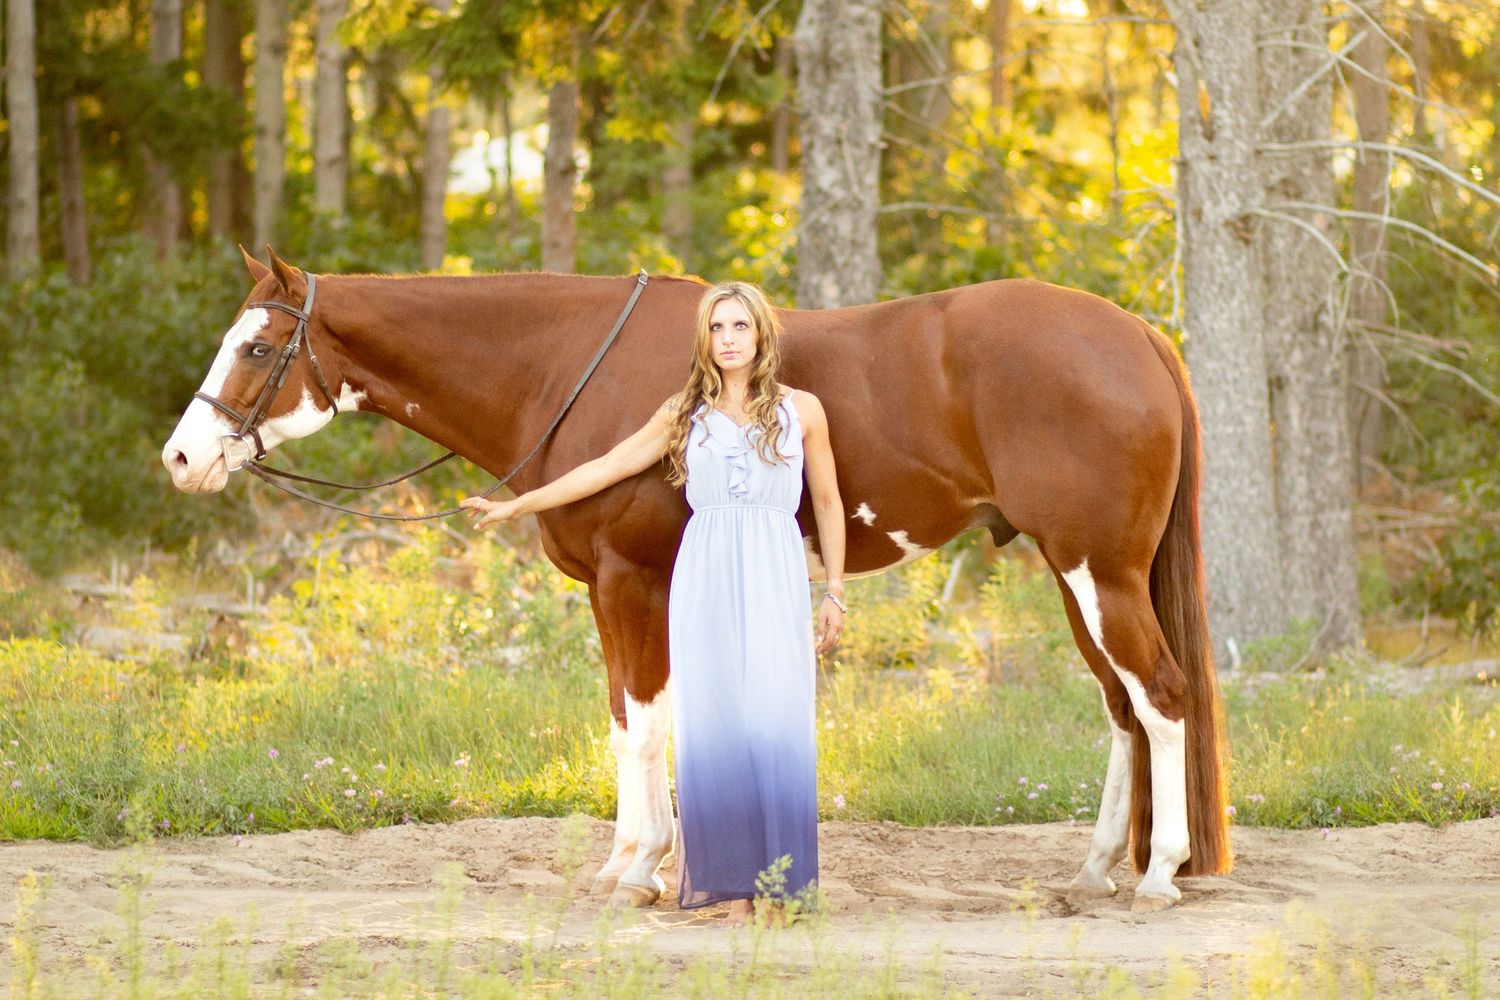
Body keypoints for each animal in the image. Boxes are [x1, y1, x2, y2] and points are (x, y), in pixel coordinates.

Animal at [162, 249, 1231, 913]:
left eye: (257, 346)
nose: (180, 458)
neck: (567, 368)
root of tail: (1136, 335)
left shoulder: (627, 582)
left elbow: (640, 727)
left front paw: (636, 870)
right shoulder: (622, 594)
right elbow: (631, 724)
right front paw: (640, 861)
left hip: (1100, 574)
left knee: (1163, 698)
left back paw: (1159, 875)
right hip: (1079, 575)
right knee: (1124, 711)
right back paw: (1097, 869)